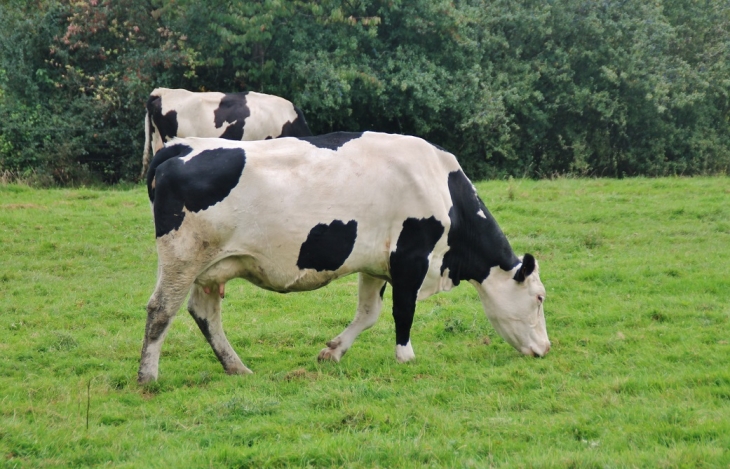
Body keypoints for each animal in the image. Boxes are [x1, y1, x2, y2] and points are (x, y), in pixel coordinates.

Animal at [136, 130, 548, 382]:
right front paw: (406, 357)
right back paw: (147, 377)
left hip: (211, 267)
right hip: (182, 257)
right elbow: (403, 310)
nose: (545, 348)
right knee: (161, 310)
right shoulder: (411, 257)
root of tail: (180, 146)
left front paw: (332, 352)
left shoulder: (377, 264)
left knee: (204, 313)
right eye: (540, 298)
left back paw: (237, 367)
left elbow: (368, 314)